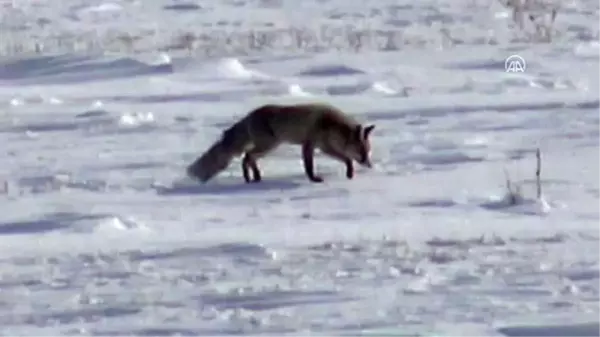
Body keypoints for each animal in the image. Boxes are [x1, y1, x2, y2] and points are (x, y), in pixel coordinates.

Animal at [186, 101, 376, 184]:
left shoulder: (325, 147)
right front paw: (314, 179)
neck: (331, 124)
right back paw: (250, 177)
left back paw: (255, 177)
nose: (370, 165)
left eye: (368, 152)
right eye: (362, 151)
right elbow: (309, 167)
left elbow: (347, 159)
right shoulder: (309, 145)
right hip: (268, 145)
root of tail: (250, 116)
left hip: (269, 146)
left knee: (248, 158)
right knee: (247, 156)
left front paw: (350, 173)